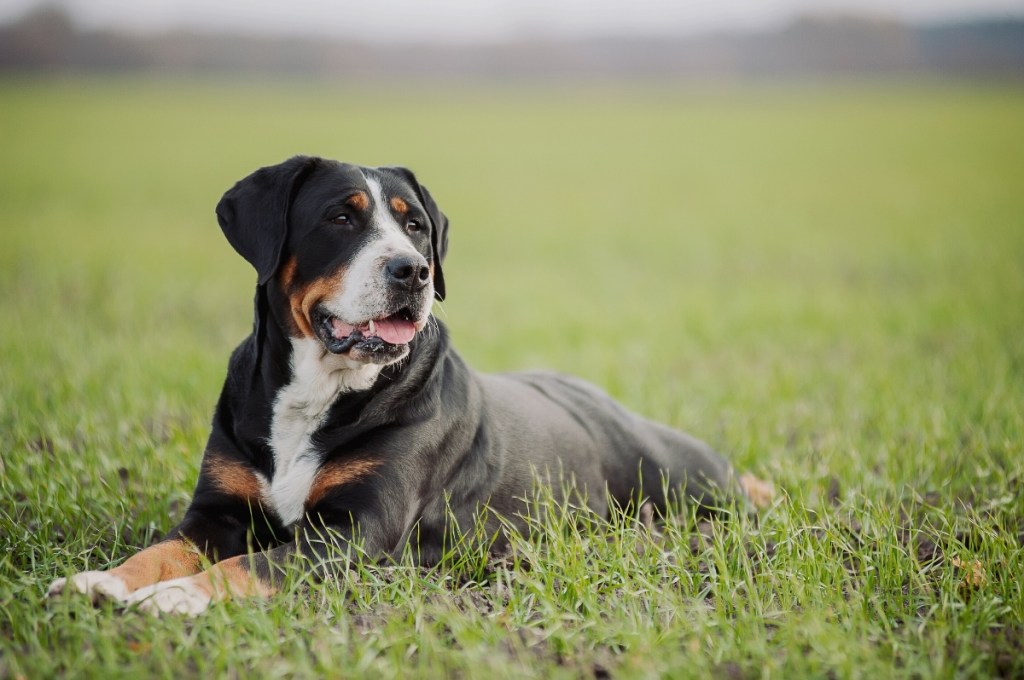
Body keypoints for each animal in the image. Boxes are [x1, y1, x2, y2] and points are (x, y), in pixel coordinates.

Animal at [48, 156, 770, 614]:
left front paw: (173, 598)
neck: (318, 390)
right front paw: (101, 582)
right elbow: (160, 550)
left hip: (682, 481)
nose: (413, 270)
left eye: (415, 224)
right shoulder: (217, 513)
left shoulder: (355, 530)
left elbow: (251, 565)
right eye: (341, 218)